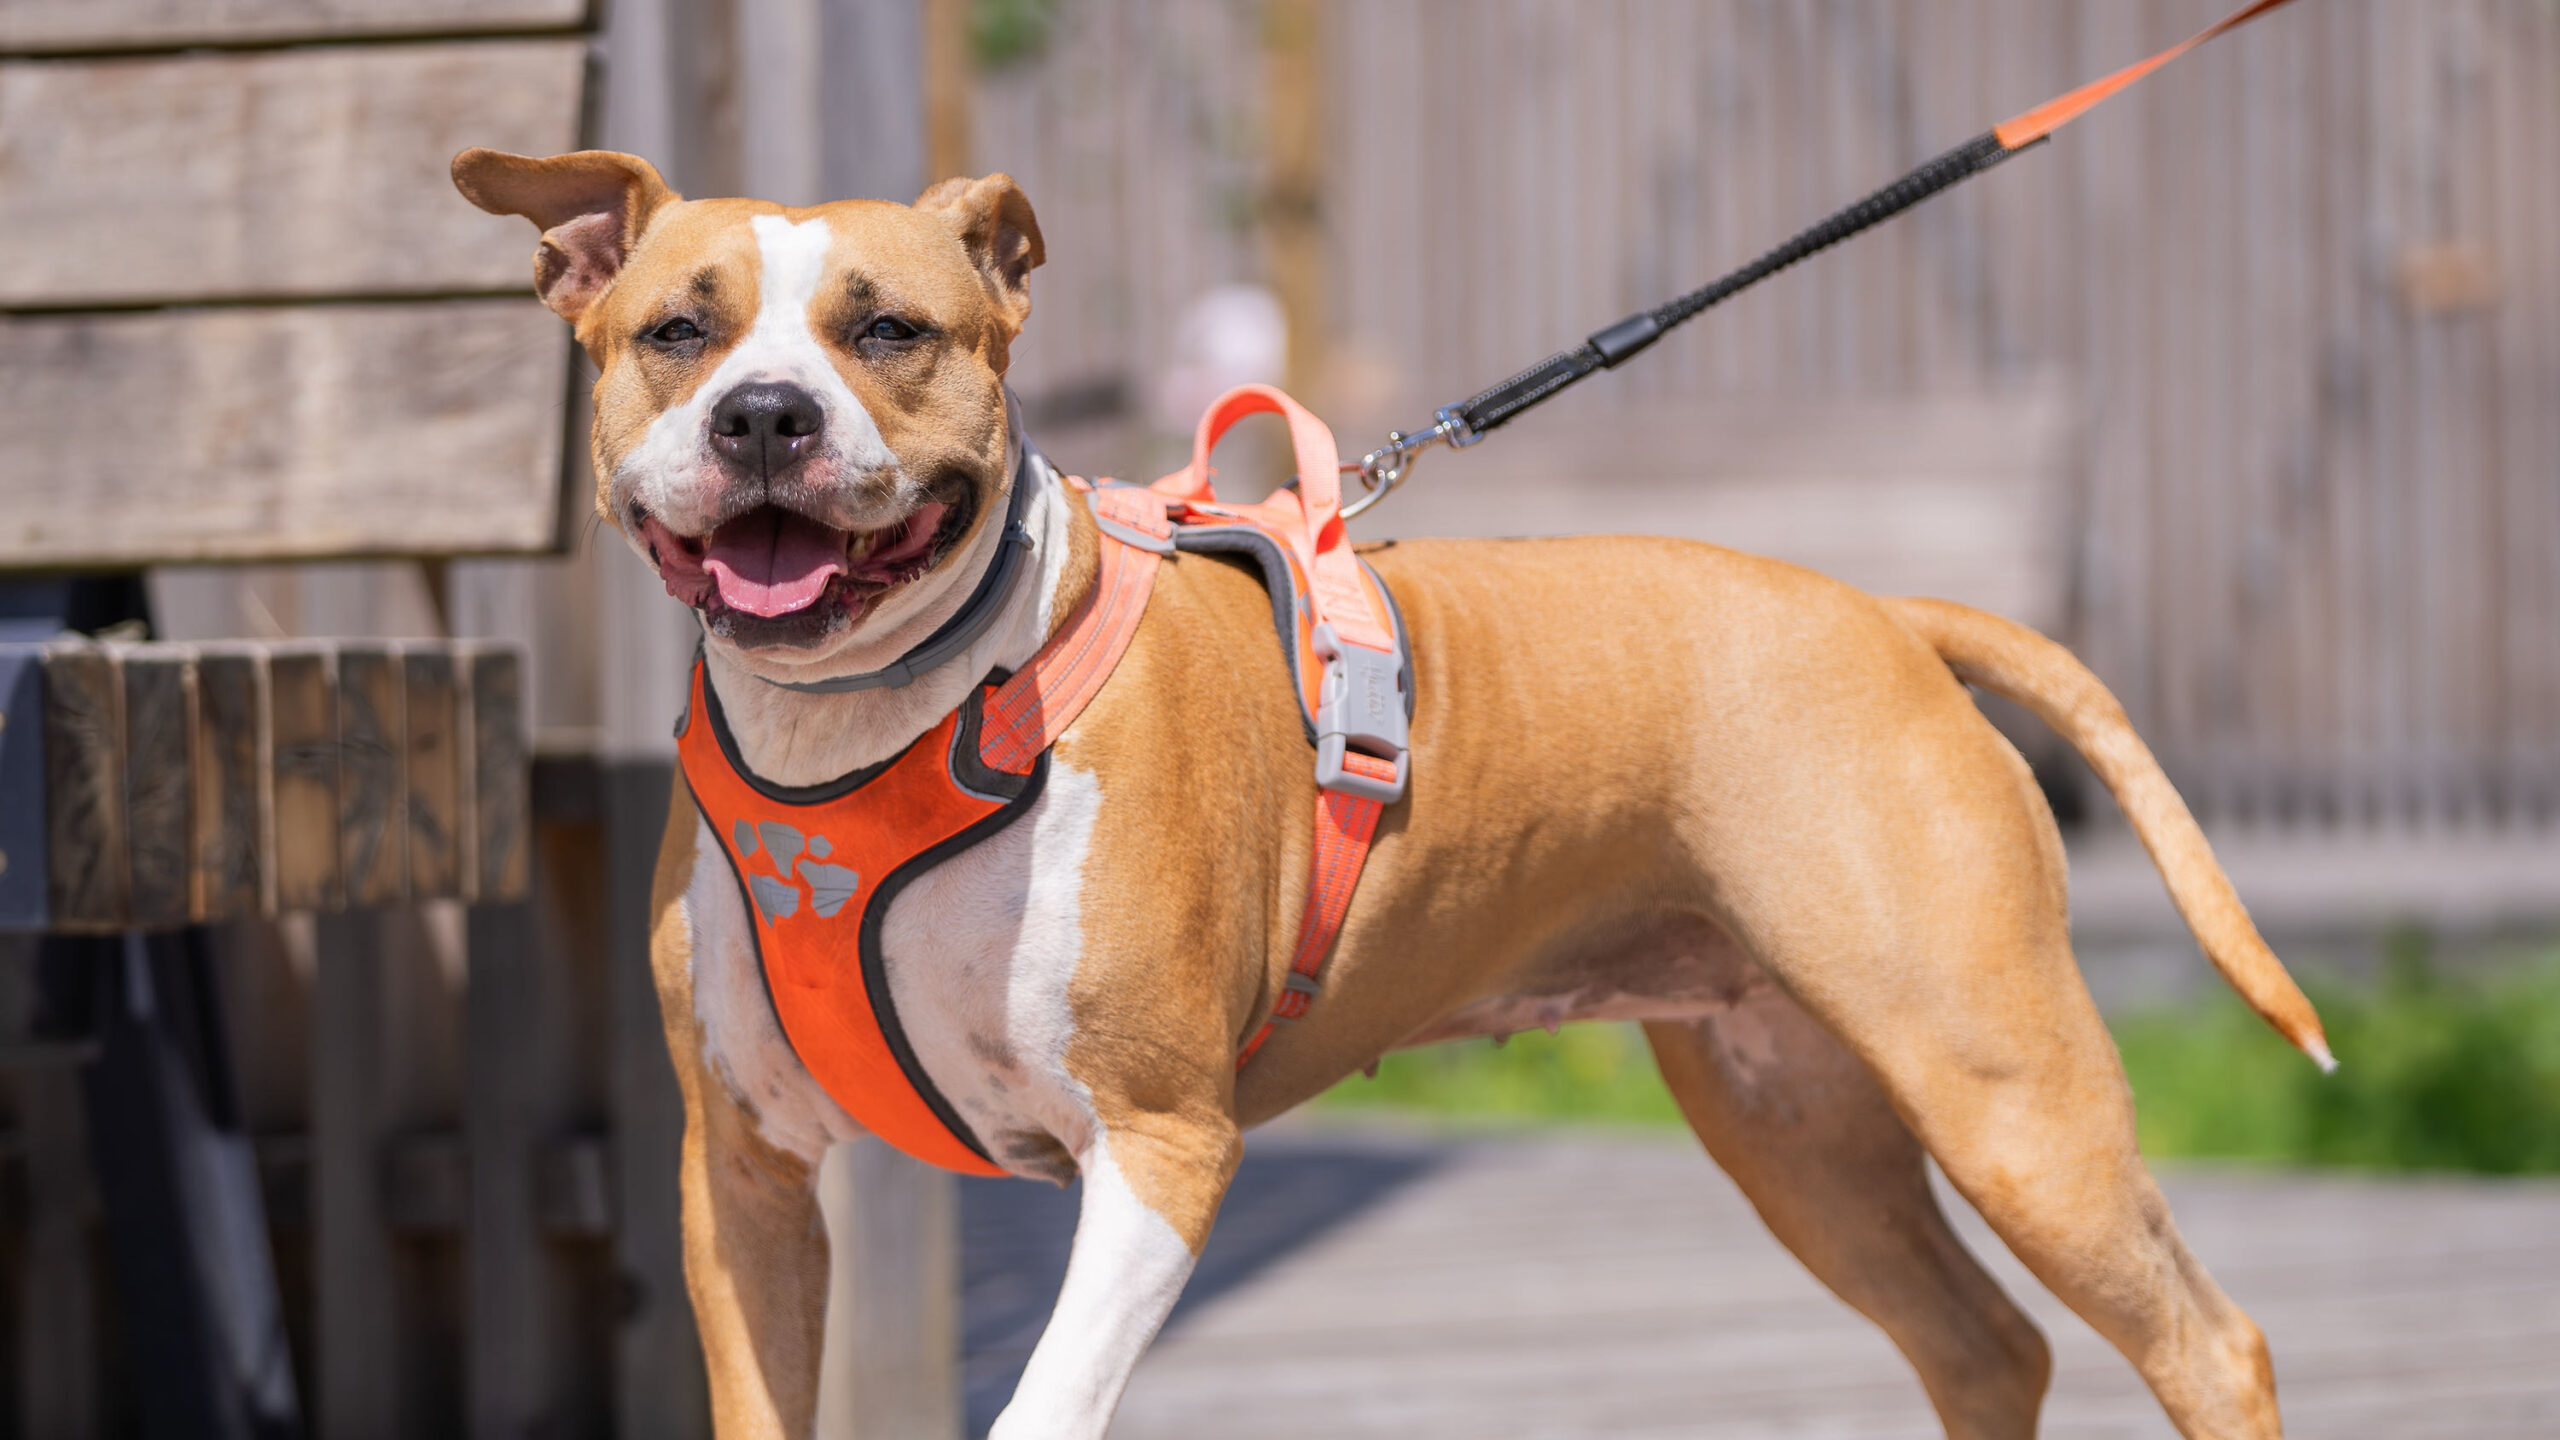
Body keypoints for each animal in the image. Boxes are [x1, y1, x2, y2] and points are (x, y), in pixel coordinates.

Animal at [455, 148, 2324, 1434]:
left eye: (891, 332)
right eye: (676, 330)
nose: (766, 415)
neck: (885, 719)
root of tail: (1888, 611)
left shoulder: (1159, 1147)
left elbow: (1047, 1402)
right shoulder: (746, 1176)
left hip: (2006, 1094)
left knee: (2208, 1342)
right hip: (1798, 1119)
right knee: (1981, 1344)